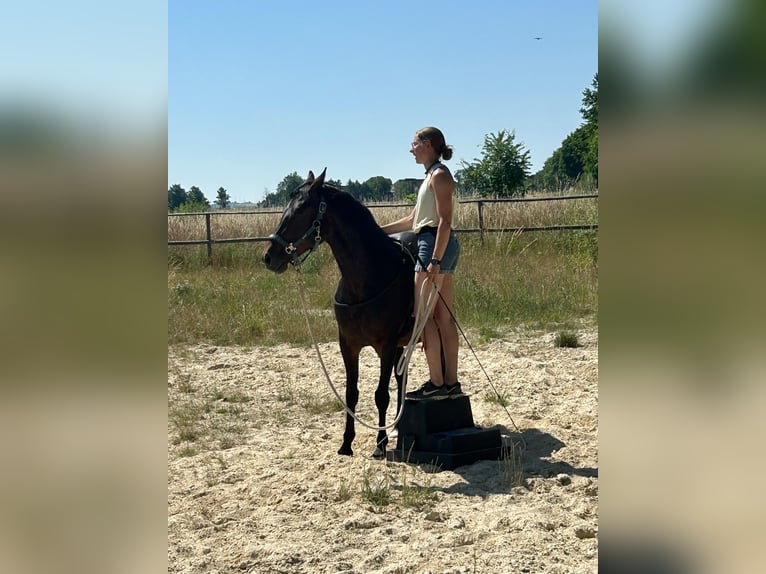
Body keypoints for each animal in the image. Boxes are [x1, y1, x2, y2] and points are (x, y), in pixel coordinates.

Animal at [263, 168, 416, 458]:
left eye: (302, 209)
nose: (269, 257)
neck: (366, 280)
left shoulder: (387, 346)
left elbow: (381, 394)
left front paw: (379, 445)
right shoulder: (348, 344)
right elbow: (350, 394)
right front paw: (346, 443)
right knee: (401, 378)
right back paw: (397, 427)